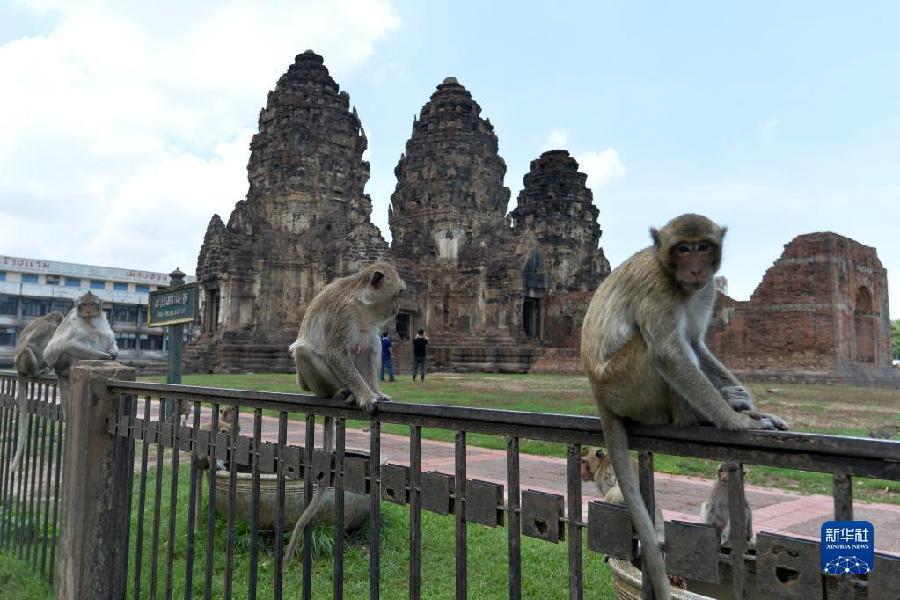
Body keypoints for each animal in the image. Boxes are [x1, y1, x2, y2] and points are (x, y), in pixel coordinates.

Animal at [10, 310, 63, 474]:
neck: (47, 319)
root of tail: (18, 368)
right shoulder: (47, 328)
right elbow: (33, 343)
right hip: (22, 362)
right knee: (27, 349)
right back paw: (38, 371)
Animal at [284, 262, 406, 568]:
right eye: (398, 293)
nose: (398, 309)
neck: (362, 304)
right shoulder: (344, 313)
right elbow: (336, 352)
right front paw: (365, 395)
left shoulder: (368, 322)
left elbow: (372, 346)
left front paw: (375, 392)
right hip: (310, 382)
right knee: (306, 352)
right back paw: (343, 393)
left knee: (369, 343)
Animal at [584, 214, 788, 600]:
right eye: (683, 248)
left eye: (703, 246)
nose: (695, 267)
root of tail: (597, 390)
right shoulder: (658, 288)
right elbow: (671, 352)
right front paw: (735, 421)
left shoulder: (706, 290)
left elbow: (695, 342)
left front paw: (752, 410)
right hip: (625, 384)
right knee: (656, 348)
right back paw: (694, 418)